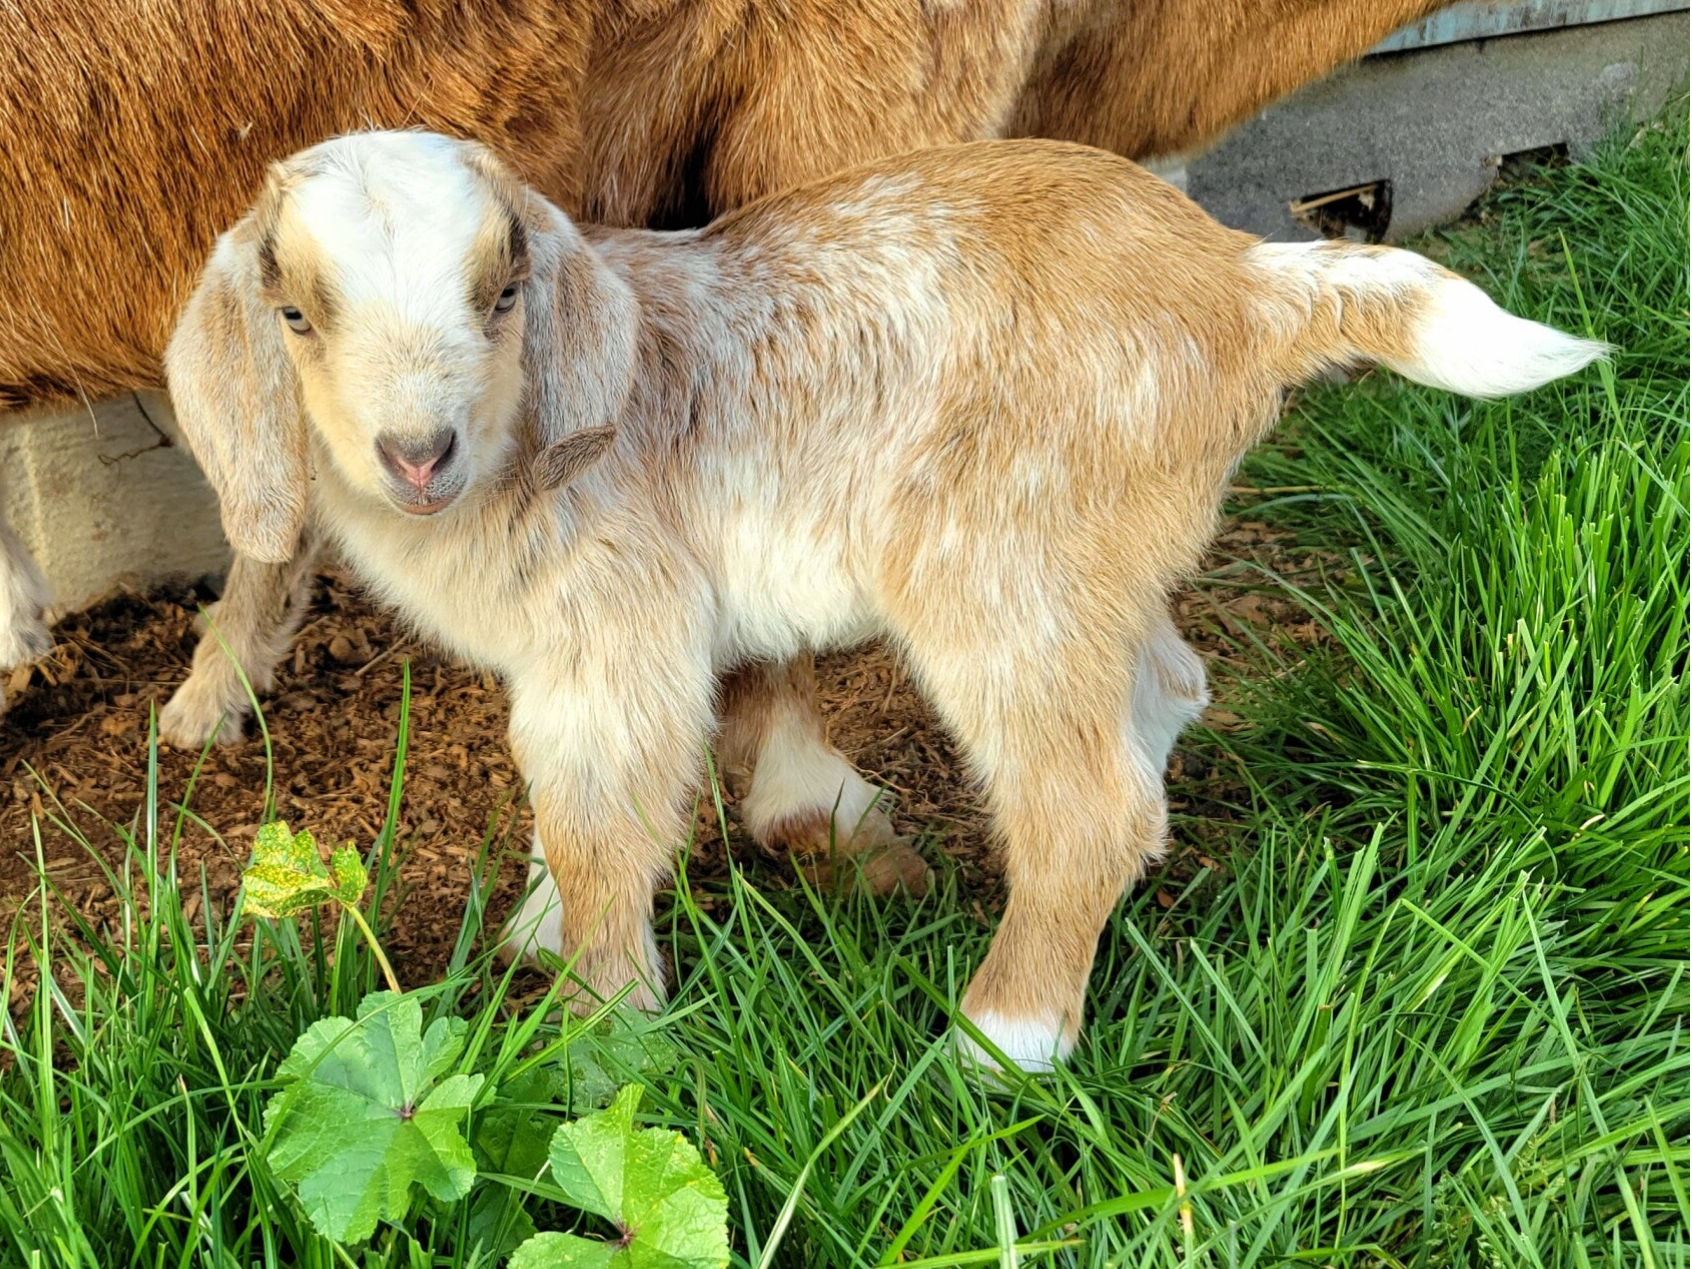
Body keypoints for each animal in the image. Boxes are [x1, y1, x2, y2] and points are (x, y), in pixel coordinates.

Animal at [164, 130, 1603, 1070]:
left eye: (504, 294)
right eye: (294, 315)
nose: (418, 455)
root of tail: (1250, 287)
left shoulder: (617, 634)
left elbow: (599, 824)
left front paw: (599, 1040)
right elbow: (565, 811)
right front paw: (540, 930)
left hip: (1000, 573)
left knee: (1086, 805)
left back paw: (999, 1041)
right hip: (1096, 561)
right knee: (1164, 696)